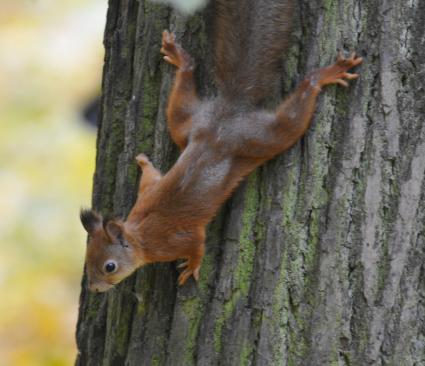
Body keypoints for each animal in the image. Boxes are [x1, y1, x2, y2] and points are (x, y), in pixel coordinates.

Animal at [79, 0, 362, 292]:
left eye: (109, 266)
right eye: (87, 259)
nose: (94, 288)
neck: (139, 235)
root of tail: (230, 110)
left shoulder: (175, 240)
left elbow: (197, 244)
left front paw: (192, 267)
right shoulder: (146, 195)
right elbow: (152, 178)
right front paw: (145, 162)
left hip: (263, 138)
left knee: (294, 114)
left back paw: (324, 75)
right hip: (188, 124)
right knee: (183, 99)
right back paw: (181, 59)